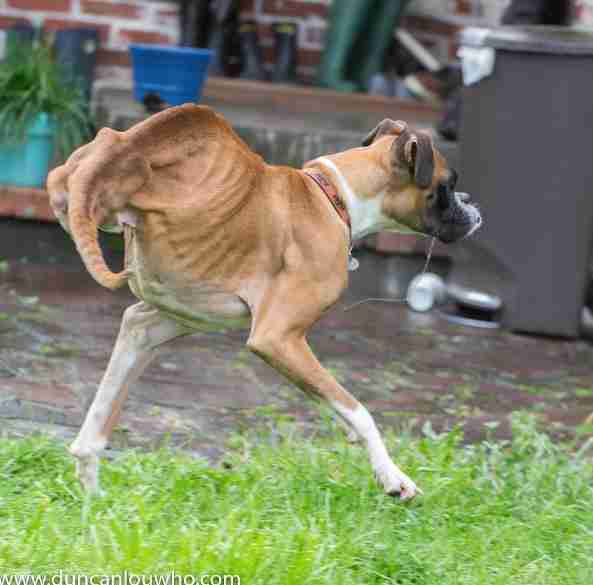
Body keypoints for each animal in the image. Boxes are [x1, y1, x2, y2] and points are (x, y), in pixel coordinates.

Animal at [47, 104, 480, 498]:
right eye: (447, 184)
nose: (473, 207)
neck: (333, 196)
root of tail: (121, 147)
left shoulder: (153, 324)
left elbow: (101, 416)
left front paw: (90, 486)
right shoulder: (278, 339)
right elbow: (359, 410)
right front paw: (392, 476)